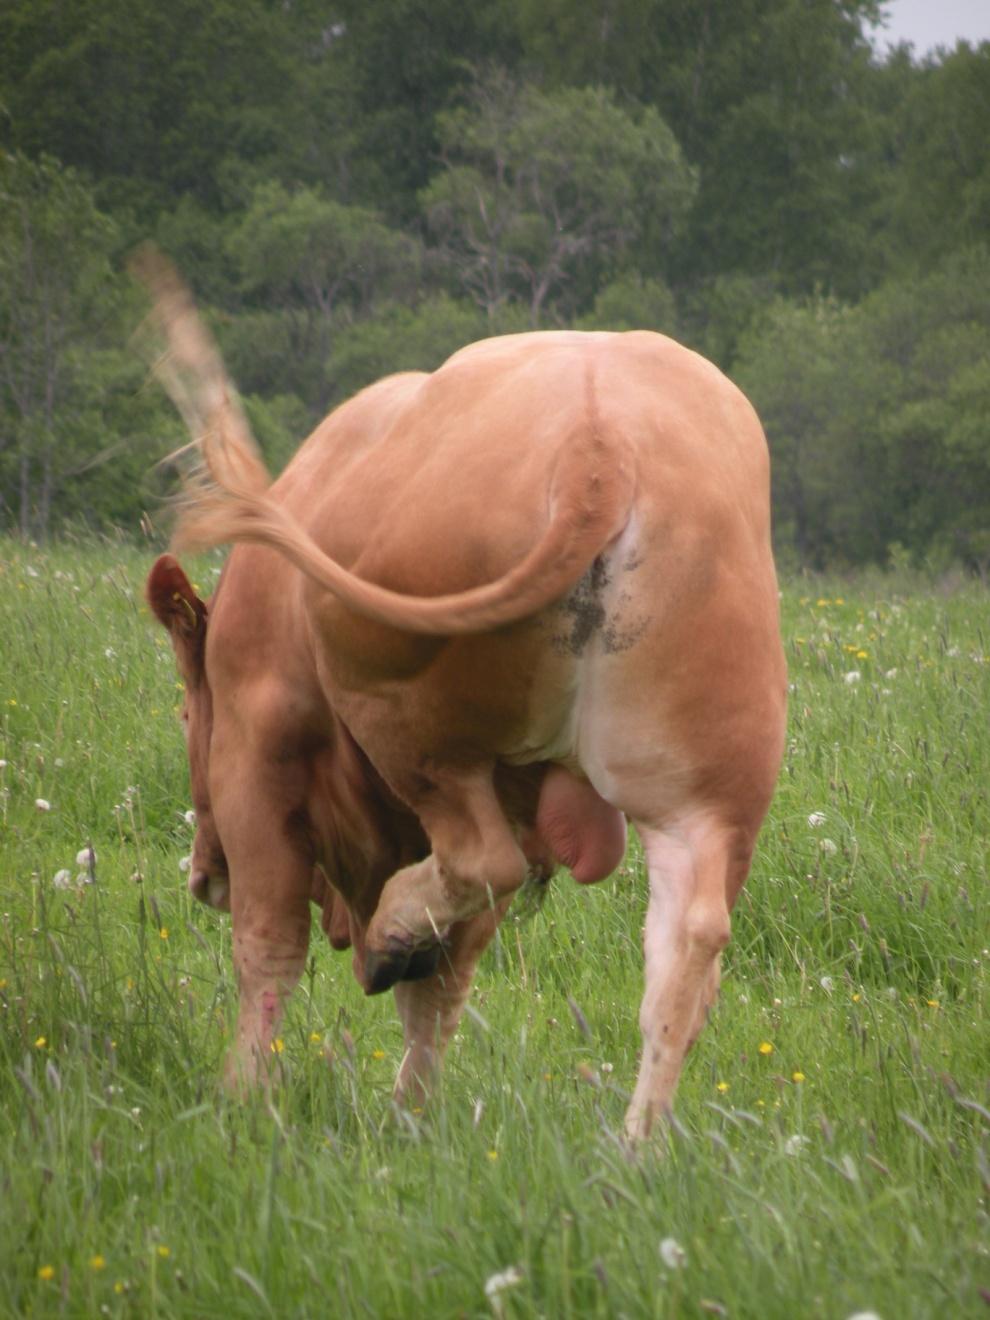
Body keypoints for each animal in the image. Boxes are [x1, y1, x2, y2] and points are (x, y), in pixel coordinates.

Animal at [143, 260, 786, 1145]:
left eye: (185, 714)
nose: (204, 877)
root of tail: (601, 444)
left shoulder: (256, 755)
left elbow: (270, 946)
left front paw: (244, 1100)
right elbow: (440, 988)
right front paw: (409, 1122)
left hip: (406, 722)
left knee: (482, 859)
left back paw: (390, 927)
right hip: (707, 792)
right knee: (686, 952)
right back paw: (635, 1151)